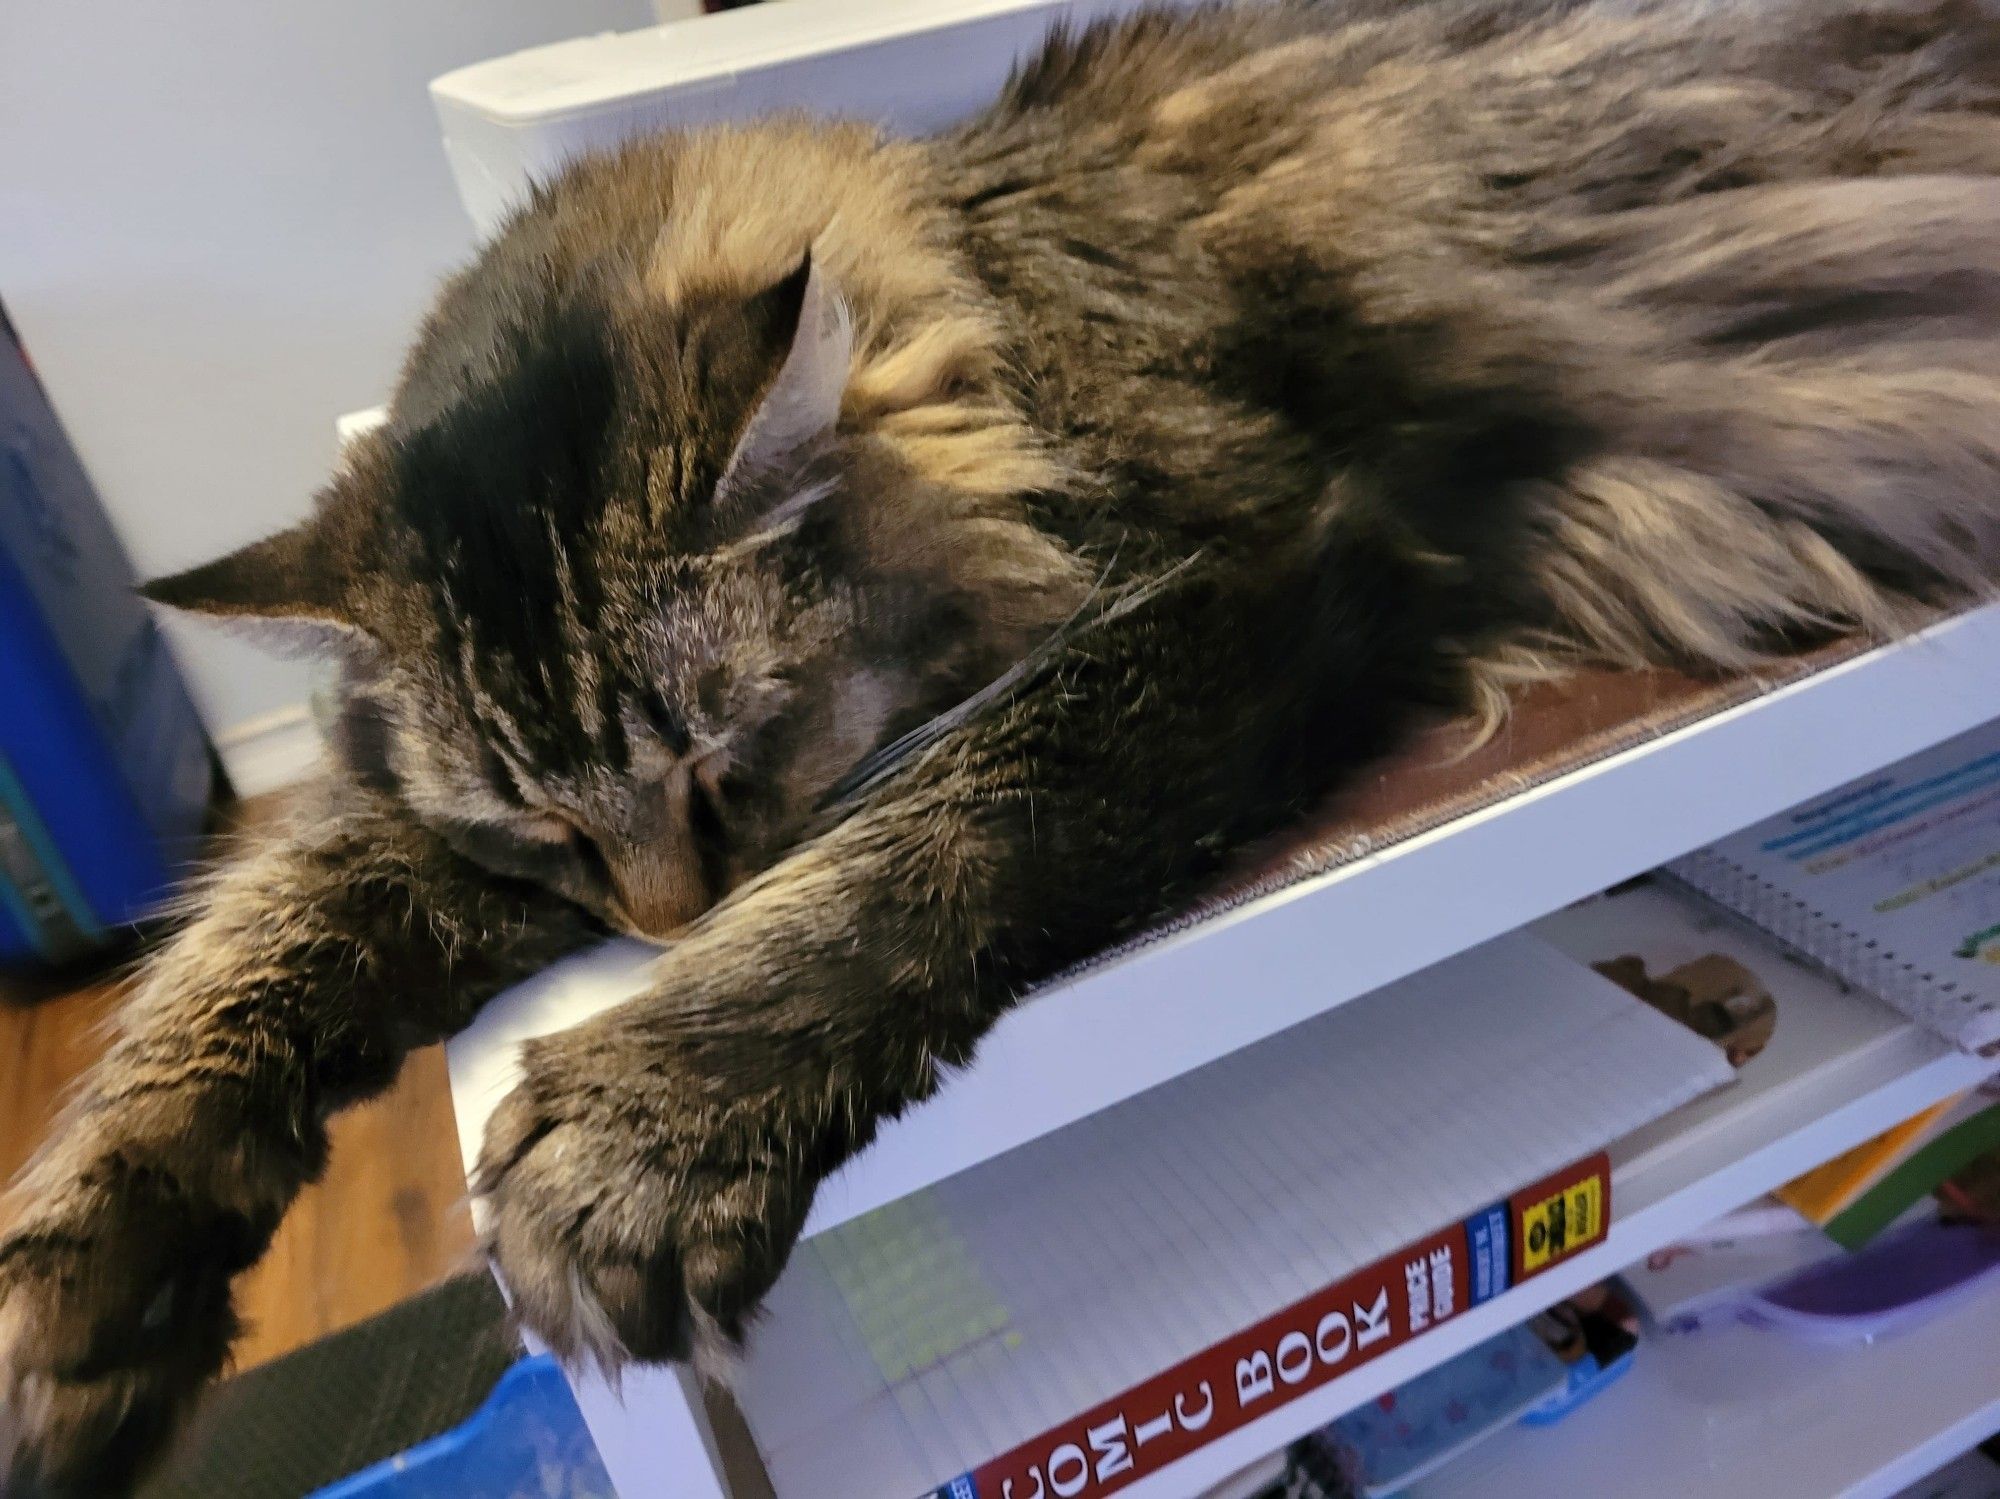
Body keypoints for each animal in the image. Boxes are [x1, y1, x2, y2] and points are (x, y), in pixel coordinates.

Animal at [3, 2, 2000, 1495]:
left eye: (723, 770)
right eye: (555, 841)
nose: (653, 927)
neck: (995, 291)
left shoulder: (1264, 578)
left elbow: (935, 836)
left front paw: (640, 1117)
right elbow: (234, 968)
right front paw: (69, 1320)